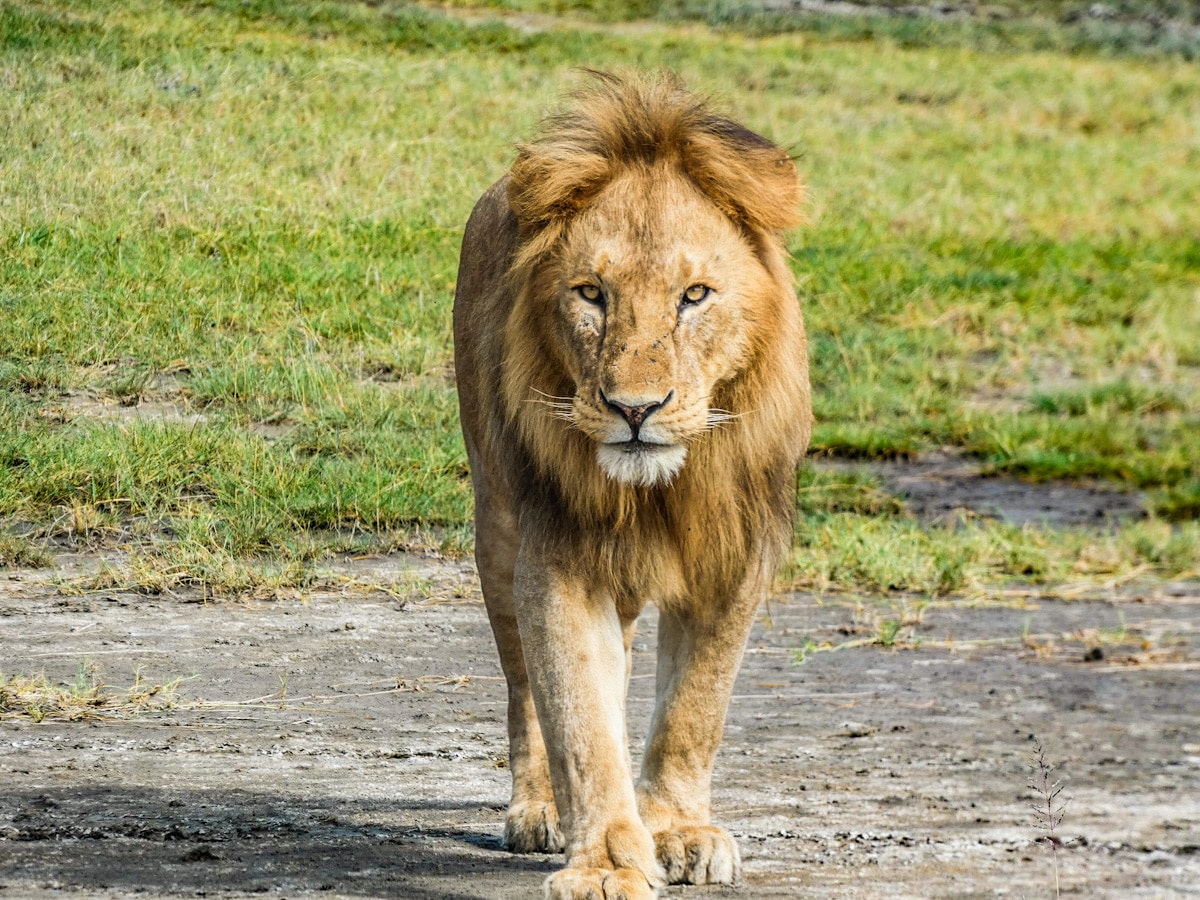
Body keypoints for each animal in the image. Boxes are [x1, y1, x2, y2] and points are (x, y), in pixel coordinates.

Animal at [453, 72, 811, 899]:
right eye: (591, 293)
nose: (634, 409)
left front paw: (675, 830)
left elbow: (694, 706)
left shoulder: (734, 554)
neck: (660, 489)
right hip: (497, 523)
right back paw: (540, 808)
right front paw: (608, 864)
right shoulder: (558, 555)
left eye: (695, 295)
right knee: (525, 684)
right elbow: (578, 717)